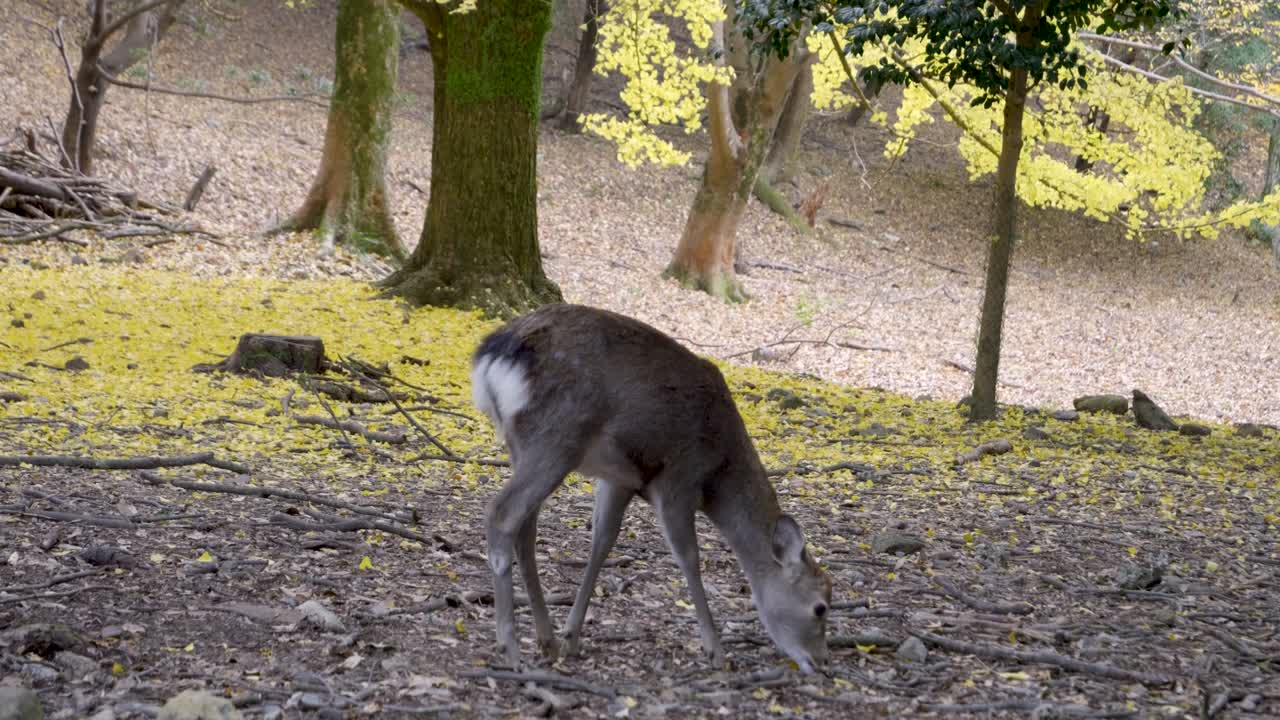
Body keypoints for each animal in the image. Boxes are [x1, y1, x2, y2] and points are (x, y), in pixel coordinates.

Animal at [470, 304, 831, 673]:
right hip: (557, 437)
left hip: (521, 444)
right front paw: (716, 652)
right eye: (820, 607)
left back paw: (547, 642)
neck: (718, 470)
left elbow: (602, 541)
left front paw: (572, 637)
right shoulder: (678, 478)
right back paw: (511, 648)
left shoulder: (620, 480)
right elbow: (689, 557)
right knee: (501, 513)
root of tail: (491, 356)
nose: (821, 662)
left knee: (525, 527)